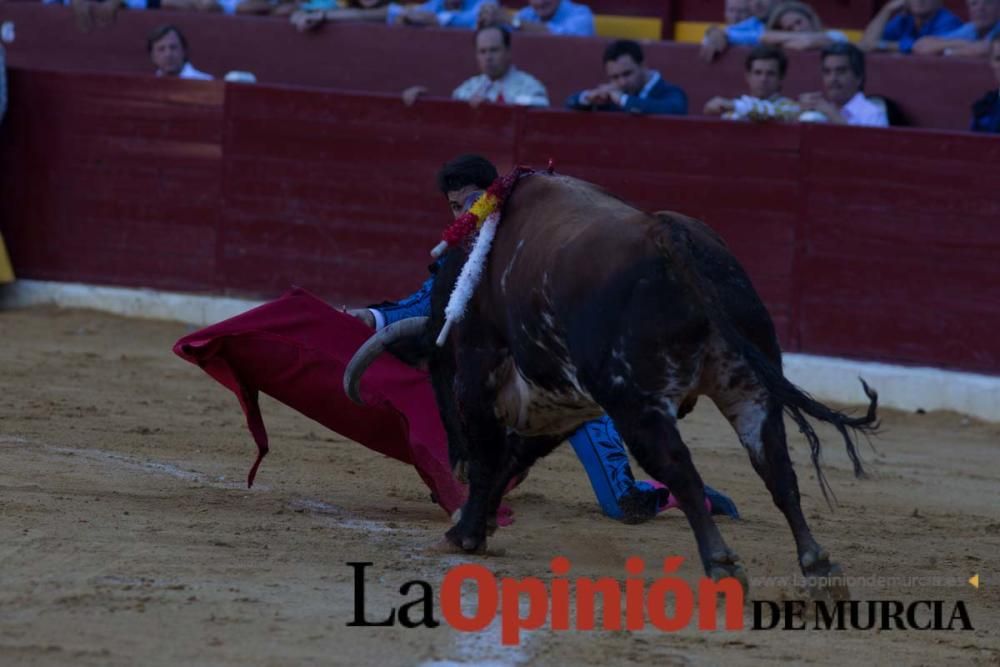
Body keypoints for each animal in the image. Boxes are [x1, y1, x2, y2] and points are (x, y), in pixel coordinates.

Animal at [344, 171, 876, 596]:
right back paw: (819, 568)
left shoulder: (481, 375)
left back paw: (723, 566)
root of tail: (670, 236)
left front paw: (466, 533)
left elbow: (492, 456)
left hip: (636, 400)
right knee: (777, 468)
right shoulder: (563, 403)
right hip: (747, 386)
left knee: (680, 468)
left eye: (438, 375)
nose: (452, 464)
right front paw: (481, 523)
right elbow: (512, 458)